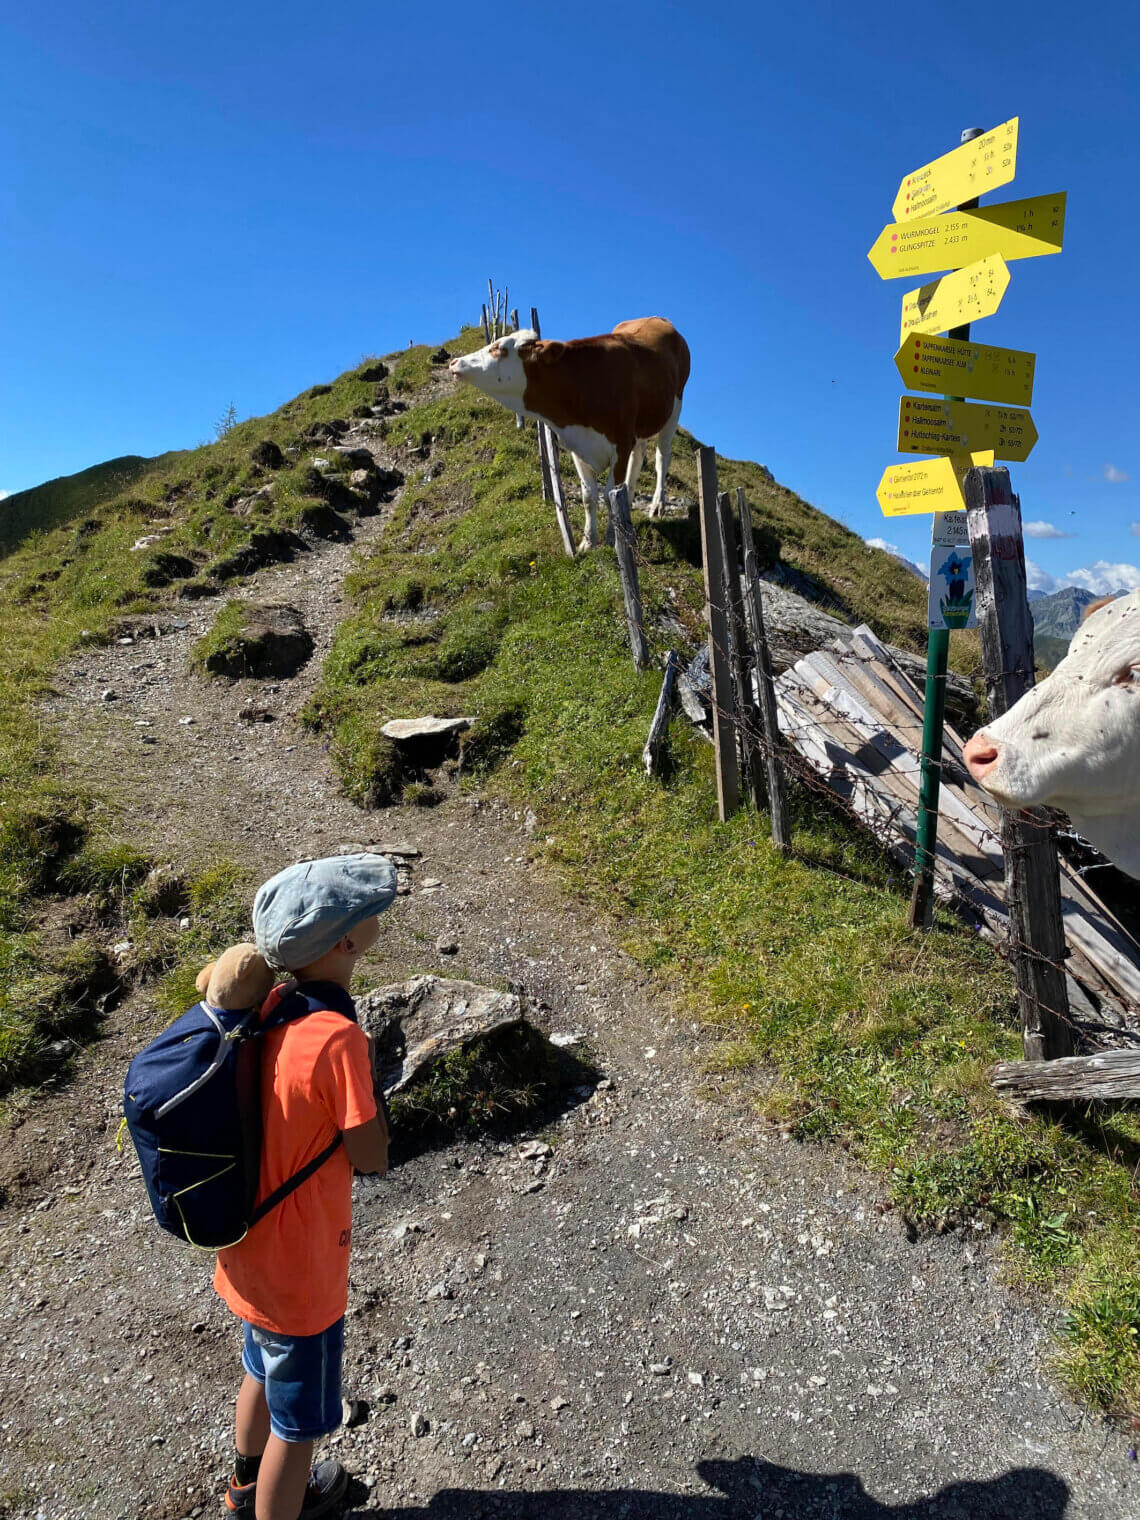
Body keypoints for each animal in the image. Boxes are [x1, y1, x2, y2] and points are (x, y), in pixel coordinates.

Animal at [449, 316, 693, 553]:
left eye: (498, 348)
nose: (454, 362)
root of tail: (657, 318)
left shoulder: (622, 444)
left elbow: (609, 494)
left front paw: (612, 538)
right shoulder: (578, 446)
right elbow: (589, 496)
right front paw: (588, 542)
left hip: (674, 409)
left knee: (662, 457)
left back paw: (657, 505)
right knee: (639, 456)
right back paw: (631, 499)